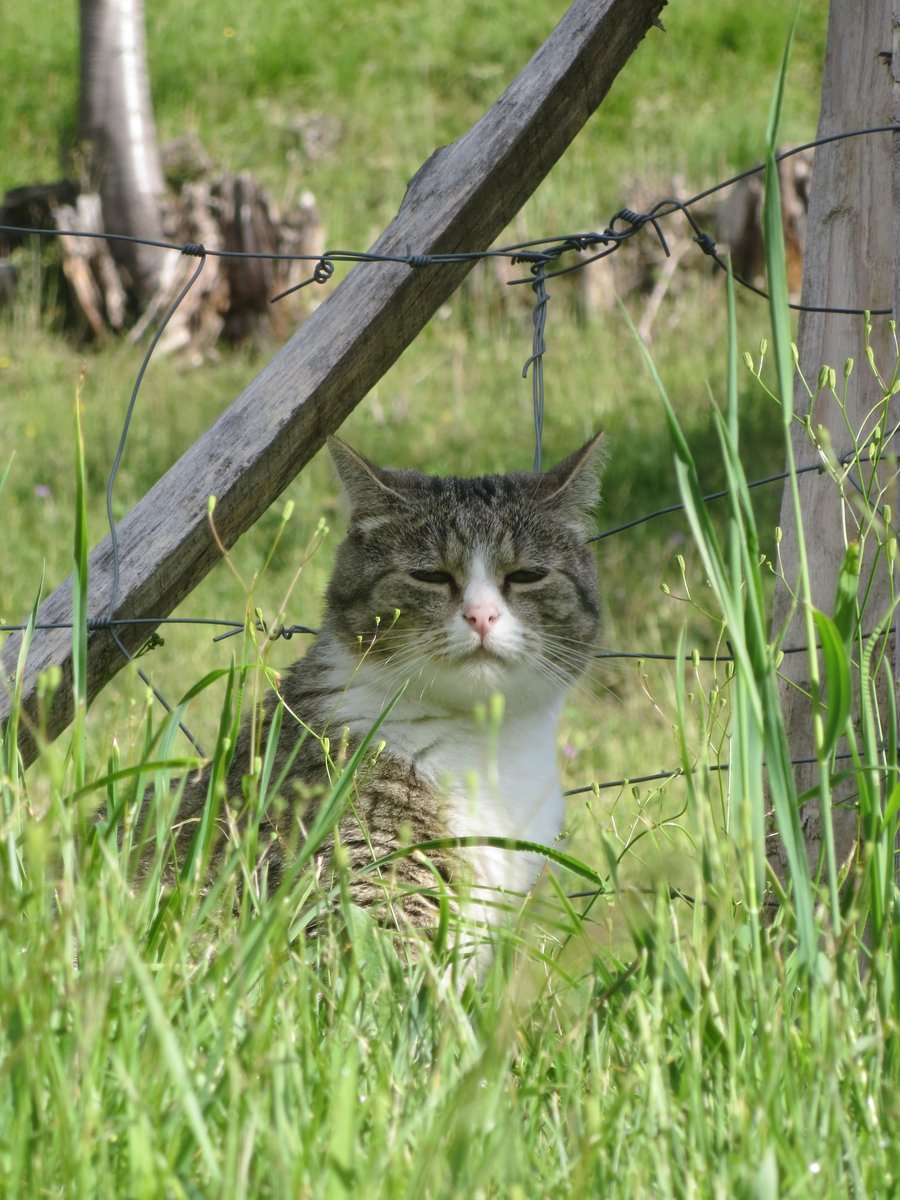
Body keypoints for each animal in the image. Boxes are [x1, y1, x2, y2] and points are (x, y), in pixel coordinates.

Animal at [142, 436, 607, 969]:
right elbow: (383, 965)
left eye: (528, 575)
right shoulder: (360, 861)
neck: (481, 742)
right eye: (430, 576)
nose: (482, 615)